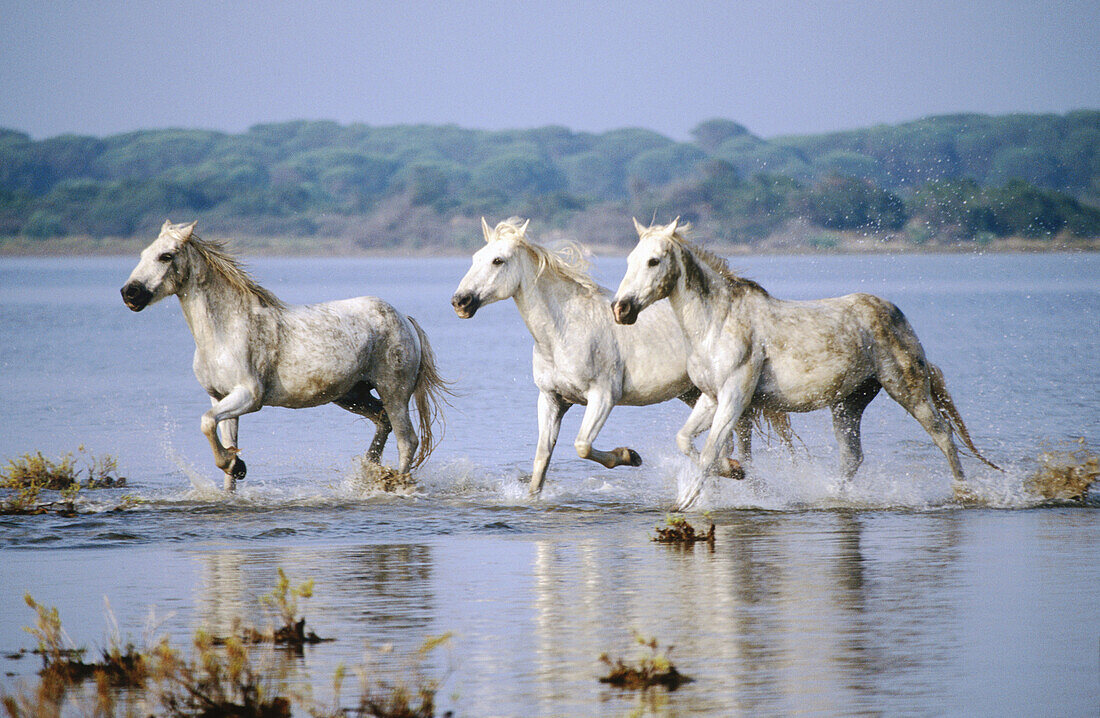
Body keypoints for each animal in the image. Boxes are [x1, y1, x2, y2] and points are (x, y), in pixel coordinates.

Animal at [120, 218, 446, 488]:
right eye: (143, 254)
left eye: (166, 255)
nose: (130, 293)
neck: (225, 330)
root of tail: (404, 318)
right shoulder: (219, 396)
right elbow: (219, 437)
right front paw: (234, 471)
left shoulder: (249, 396)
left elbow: (206, 423)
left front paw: (235, 463)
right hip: (352, 394)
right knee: (383, 421)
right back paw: (368, 470)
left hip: (393, 390)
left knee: (407, 440)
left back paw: (394, 483)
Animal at [448, 215, 792, 492]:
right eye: (476, 257)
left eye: (498, 261)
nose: (460, 302)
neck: (564, 330)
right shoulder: (551, 399)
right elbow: (541, 460)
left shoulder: (603, 396)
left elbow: (582, 445)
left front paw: (631, 456)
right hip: (696, 393)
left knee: (738, 437)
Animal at [611, 215, 998, 505]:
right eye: (630, 260)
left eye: (654, 261)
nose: (621, 309)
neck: (716, 322)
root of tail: (893, 312)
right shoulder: (711, 397)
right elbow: (686, 440)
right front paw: (734, 469)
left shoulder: (735, 396)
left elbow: (708, 451)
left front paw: (689, 498)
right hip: (849, 403)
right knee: (852, 457)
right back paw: (835, 496)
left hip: (907, 389)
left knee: (943, 435)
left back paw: (964, 492)